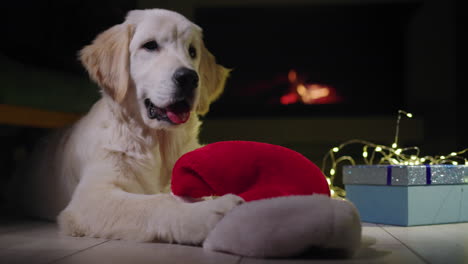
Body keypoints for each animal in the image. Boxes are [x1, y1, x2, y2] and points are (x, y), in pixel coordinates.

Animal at [9, 9, 243, 244]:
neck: (158, 143)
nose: (188, 77)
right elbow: (159, 201)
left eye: (192, 51)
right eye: (150, 45)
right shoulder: (90, 197)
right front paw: (211, 213)